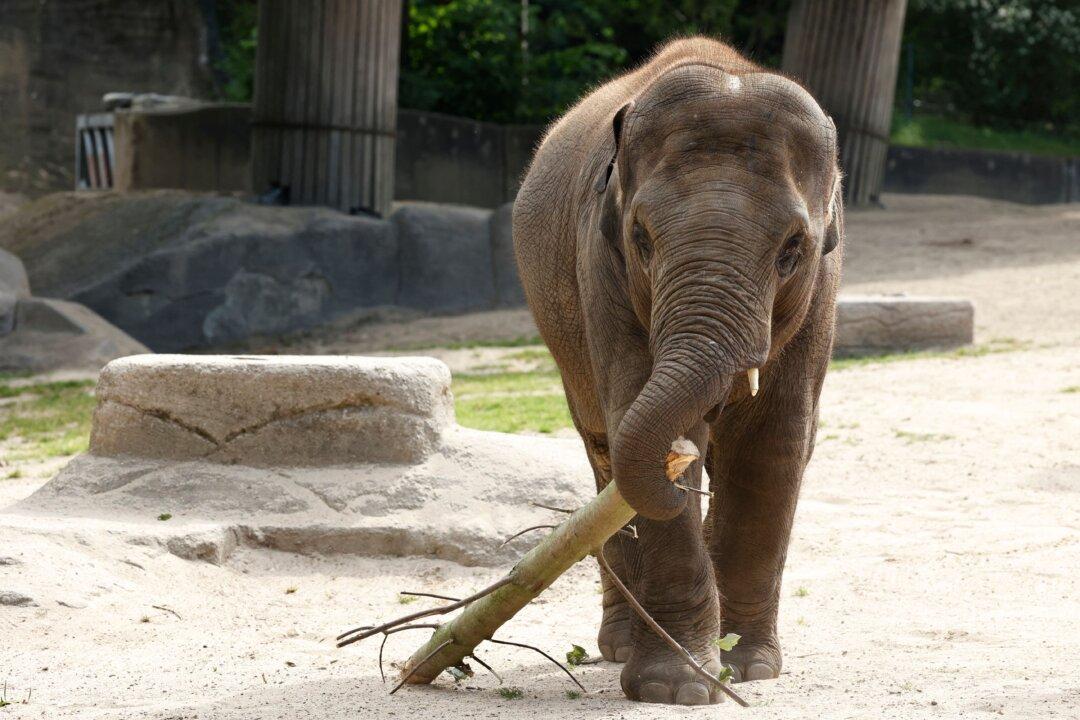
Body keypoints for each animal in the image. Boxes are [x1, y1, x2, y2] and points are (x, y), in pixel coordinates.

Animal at [512, 37, 843, 705]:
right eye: (641, 236)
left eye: (793, 248)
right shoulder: (600, 263)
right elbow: (644, 420)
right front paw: (676, 688)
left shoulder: (823, 287)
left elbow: (771, 445)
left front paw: (747, 668)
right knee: (603, 451)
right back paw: (618, 646)